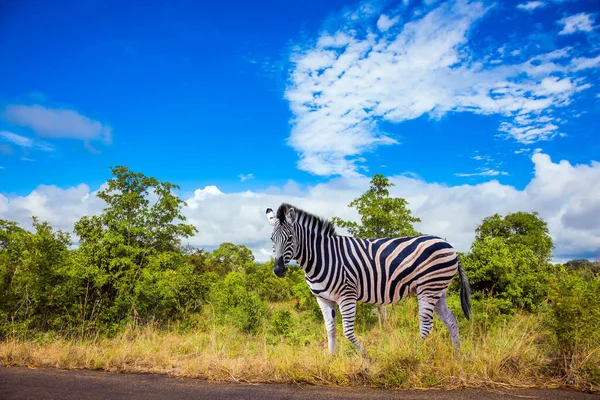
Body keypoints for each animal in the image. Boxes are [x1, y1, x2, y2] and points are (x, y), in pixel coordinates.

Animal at [264, 202, 472, 354]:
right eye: (271, 240)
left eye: (290, 239)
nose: (278, 270)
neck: (322, 256)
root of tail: (450, 246)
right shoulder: (323, 299)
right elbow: (330, 330)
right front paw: (330, 360)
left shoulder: (347, 294)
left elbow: (347, 332)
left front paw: (367, 358)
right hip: (438, 289)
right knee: (451, 321)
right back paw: (457, 356)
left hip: (428, 287)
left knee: (427, 326)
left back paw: (415, 356)